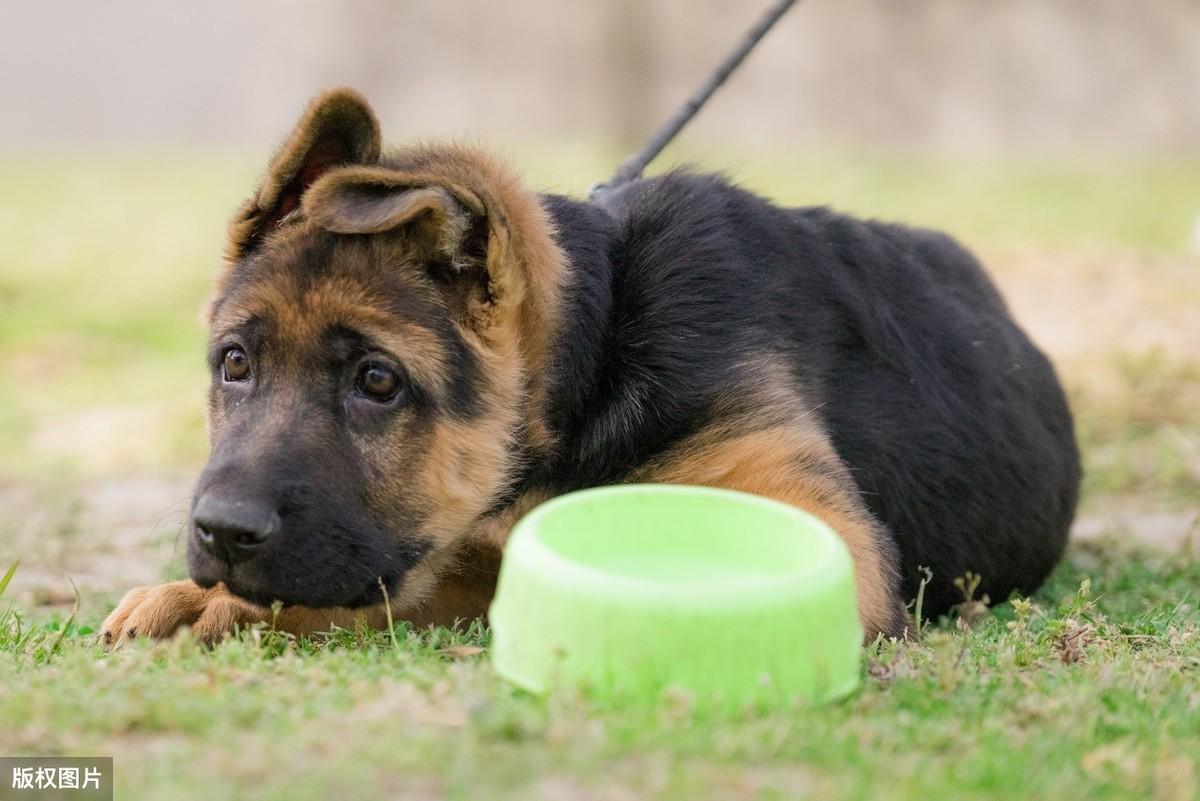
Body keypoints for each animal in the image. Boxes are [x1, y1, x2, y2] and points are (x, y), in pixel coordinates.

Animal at [100, 90, 1080, 647]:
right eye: (235, 364)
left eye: (377, 382)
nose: (223, 534)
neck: (598, 366)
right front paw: (195, 596)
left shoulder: (835, 544)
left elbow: (432, 579)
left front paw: (228, 608)